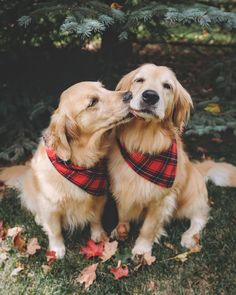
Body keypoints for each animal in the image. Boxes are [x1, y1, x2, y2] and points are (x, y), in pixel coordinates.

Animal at [0, 81, 133, 260]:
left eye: (103, 88)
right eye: (92, 102)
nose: (130, 94)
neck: (80, 165)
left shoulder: (100, 196)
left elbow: (96, 218)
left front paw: (99, 236)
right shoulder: (50, 206)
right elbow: (55, 229)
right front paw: (57, 249)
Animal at [108, 64, 236, 256]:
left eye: (167, 86)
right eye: (139, 80)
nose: (150, 96)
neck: (144, 143)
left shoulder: (162, 198)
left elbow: (149, 227)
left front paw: (142, 249)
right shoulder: (121, 186)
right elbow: (122, 212)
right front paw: (120, 229)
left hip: (192, 198)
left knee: (200, 217)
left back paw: (189, 237)